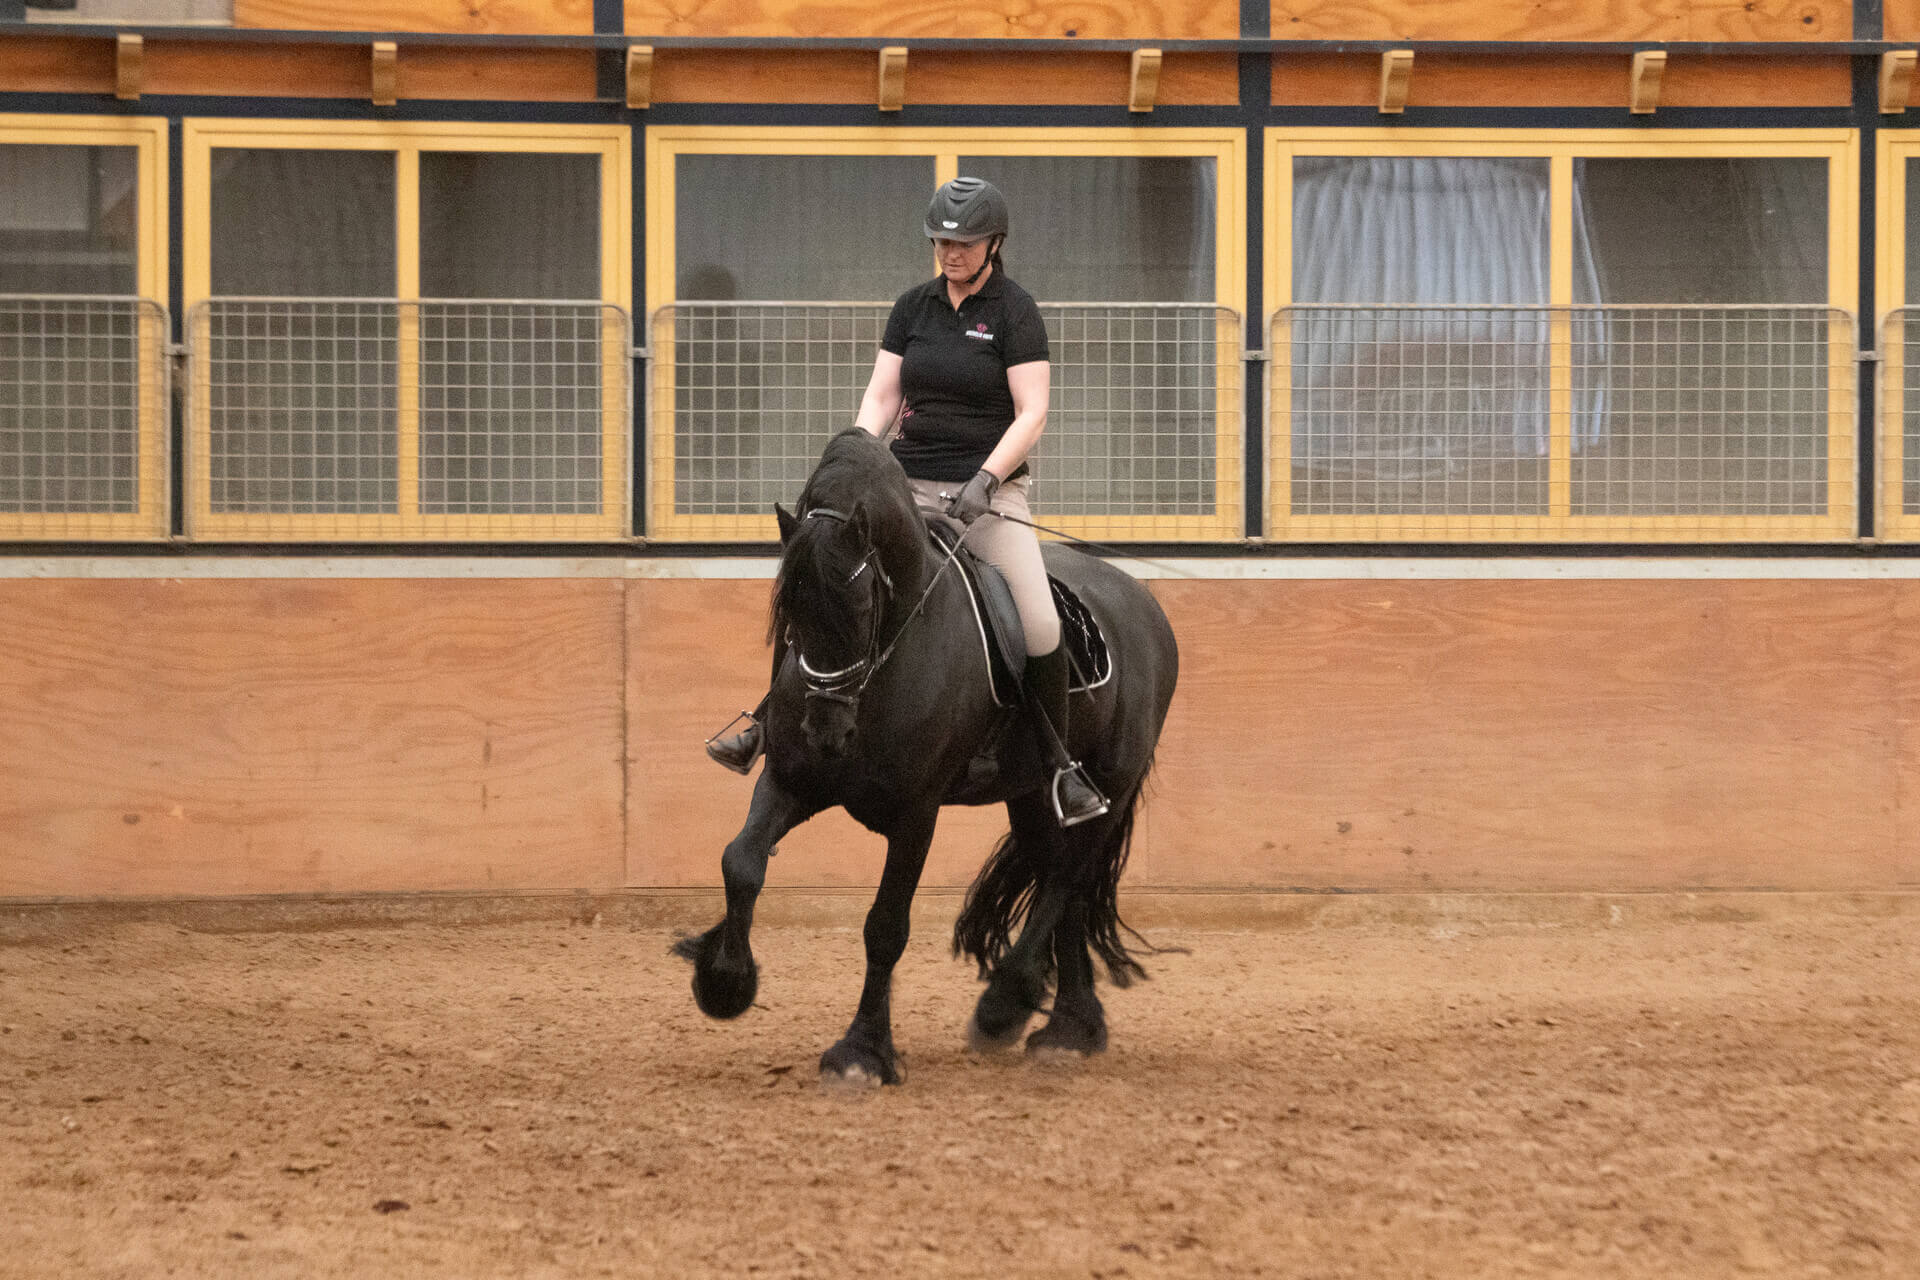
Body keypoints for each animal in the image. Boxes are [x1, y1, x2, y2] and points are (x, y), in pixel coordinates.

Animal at [675, 427, 1182, 1082]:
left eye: (863, 606)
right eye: (788, 614)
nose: (827, 732)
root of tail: (1143, 602)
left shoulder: (916, 814)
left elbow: (885, 927)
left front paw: (861, 1052)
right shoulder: (791, 780)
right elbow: (741, 862)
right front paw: (724, 983)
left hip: (1109, 786)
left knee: (1067, 878)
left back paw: (1005, 1005)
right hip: (1031, 795)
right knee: (1059, 882)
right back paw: (1069, 1029)